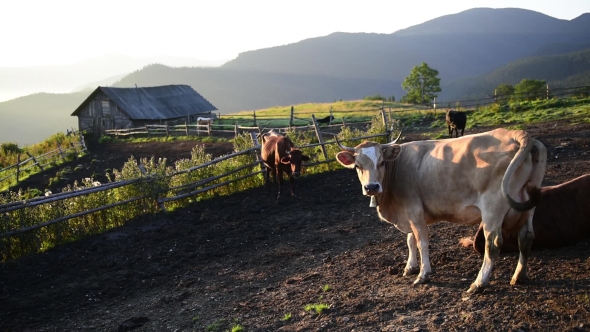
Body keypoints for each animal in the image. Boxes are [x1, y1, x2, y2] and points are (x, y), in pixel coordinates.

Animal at [338, 127, 552, 294]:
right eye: (357, 166)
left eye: (381, 162)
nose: (371, 187)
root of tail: (515, 133)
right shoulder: (407, 213)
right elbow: (410, 240)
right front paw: (410, 267)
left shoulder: (414, 209)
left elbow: (421, 241)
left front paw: (423, 274)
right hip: (528, 205)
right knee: (526, 237)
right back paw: (519, 276)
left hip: (493, 207)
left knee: (493, 244)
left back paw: (478, 284)